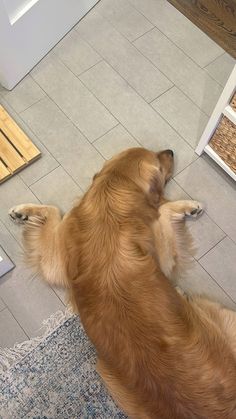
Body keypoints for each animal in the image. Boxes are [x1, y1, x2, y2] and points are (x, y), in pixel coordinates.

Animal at [8, 148, 236, 419]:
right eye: (158, 161)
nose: (170, 151)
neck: (109, 200)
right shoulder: (163, 259)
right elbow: (163, 212)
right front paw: (188, 205)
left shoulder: (58, 260)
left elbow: (54, 211)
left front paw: (22, 210)